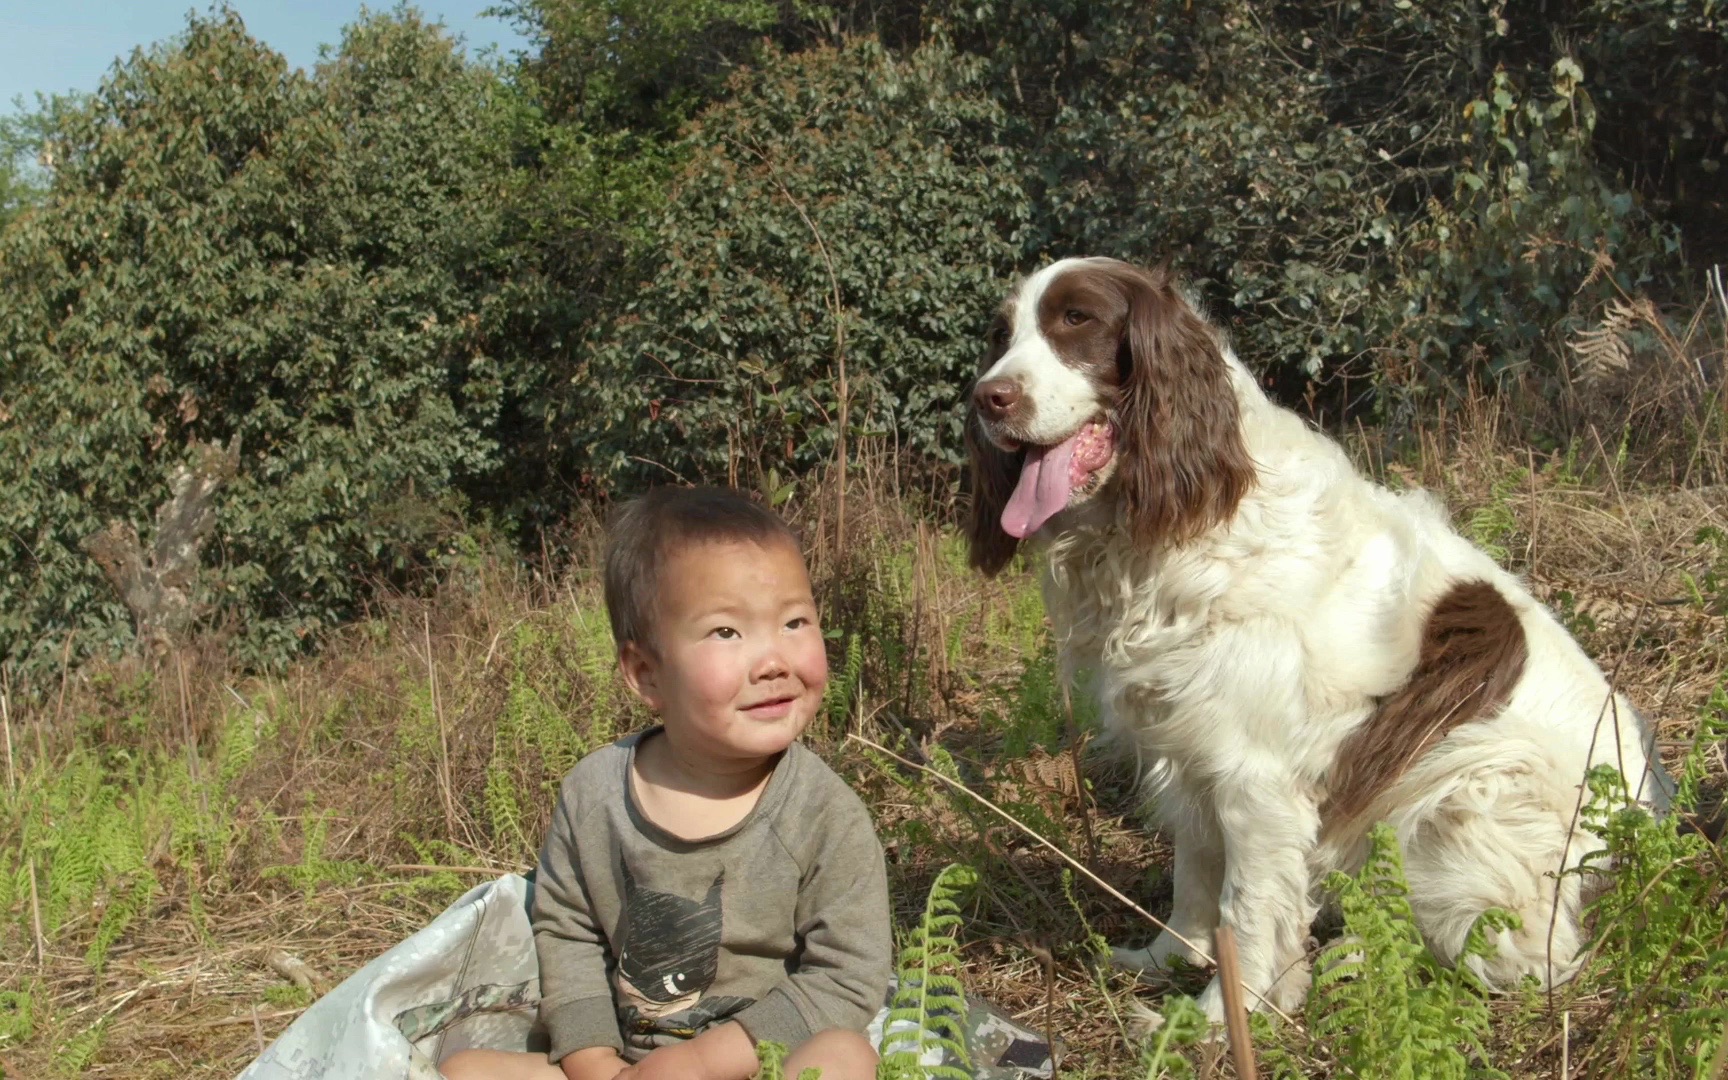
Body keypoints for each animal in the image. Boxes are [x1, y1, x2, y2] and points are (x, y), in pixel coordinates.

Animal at [967, 254, 1665, 1016]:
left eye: (1076, 320)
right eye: (1002, 333)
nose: (987, 399)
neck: (1178, 526)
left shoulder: (1255, 775)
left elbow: (1248, 905)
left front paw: (1222, 1015)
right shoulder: (1187, 746)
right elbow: (1195, 874)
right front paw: (1167, 959)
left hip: (1464, 797)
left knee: (1518, 955)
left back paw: (1357, 961)